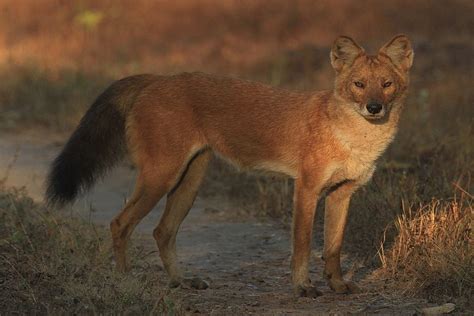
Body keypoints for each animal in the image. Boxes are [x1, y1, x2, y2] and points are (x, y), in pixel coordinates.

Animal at [46, 34, 412, 296]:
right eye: (359, 85)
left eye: (386, 84)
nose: (374, 107)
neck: (354, 137)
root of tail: (157, 78)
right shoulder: (306, 189)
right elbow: (303, 245)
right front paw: (303, 287)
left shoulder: (342, 193)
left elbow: (333, 247)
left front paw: (336, 285)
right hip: (161, 177)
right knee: (120, 223)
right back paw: (126, 281)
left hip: (190, 180)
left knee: (162, 231)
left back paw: (181, 282)